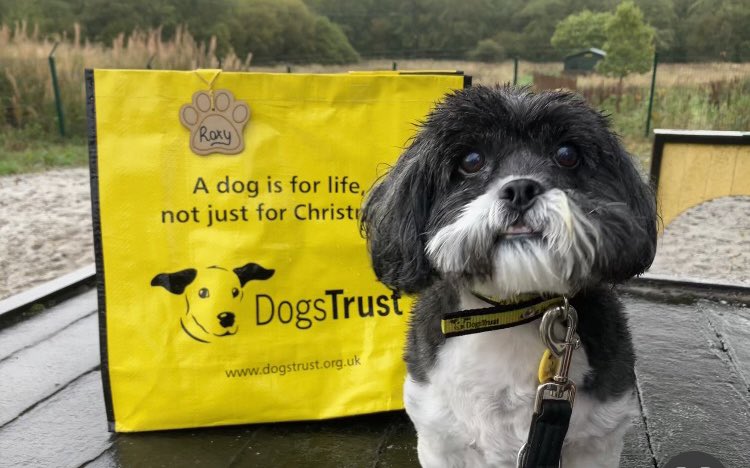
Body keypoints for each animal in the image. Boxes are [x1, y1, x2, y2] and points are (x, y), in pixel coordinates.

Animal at [362, 86, 656, 466]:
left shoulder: (597, 442)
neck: (511, 312)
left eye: (567, 155)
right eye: (471, 160)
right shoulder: (439, 437)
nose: (521, 189)